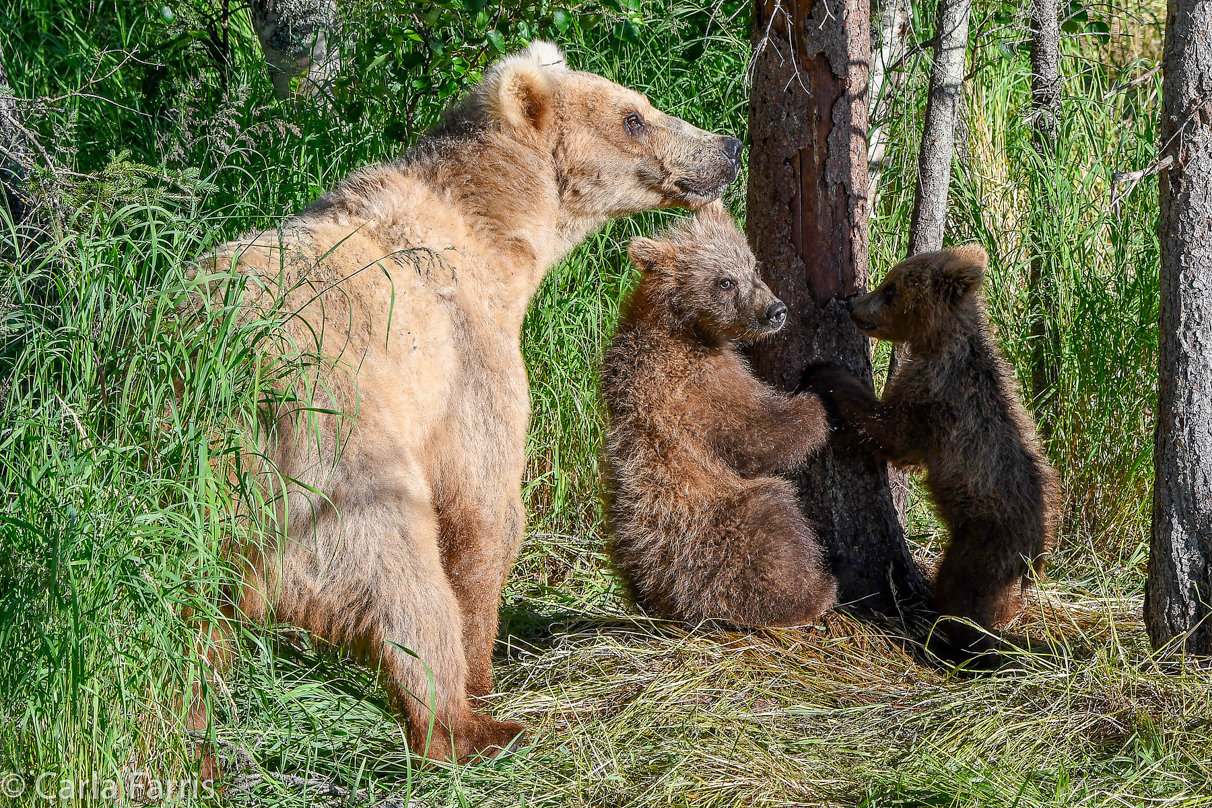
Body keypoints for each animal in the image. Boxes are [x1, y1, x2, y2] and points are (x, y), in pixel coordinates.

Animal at [198, 42, 736, 765]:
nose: (727, 146)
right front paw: (485, 668)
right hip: (331, 455)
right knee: (399, 578)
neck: (497, 231)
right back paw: (474, 727)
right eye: (633, 116)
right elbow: (483, 504)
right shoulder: (467, 353)